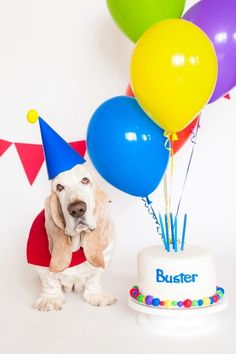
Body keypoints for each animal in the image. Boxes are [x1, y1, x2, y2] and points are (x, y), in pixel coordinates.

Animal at [28, 163, 116, 310]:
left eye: (85, 180)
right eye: (59, 187)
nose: (77, 209)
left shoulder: (105, 257)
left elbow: (94, 279)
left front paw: (97, 295)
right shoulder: (41, 269)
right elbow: (49, 282)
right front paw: (50, 299)